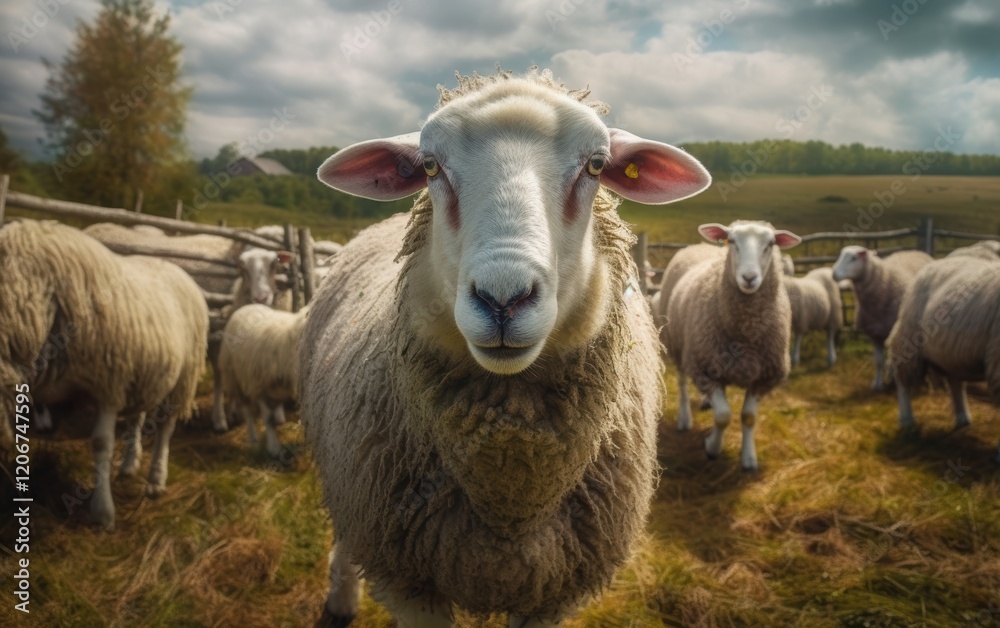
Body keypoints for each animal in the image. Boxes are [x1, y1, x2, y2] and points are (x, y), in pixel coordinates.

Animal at [0, 220, 208, 530]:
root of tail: (174, 267)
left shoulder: (108, 386)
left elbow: (101, 444)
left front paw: (103, 513)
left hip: (182, 378)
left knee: (165, 428)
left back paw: (156, 480)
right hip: (144, 371)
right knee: (137, 417)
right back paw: (129, 465)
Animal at [299, 69, 711, 626]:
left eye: (596, 165)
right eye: (430, 166)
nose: (503, 298)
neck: (510, 489)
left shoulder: (553, 590)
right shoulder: (410, 582)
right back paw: (341, 599)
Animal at [665, 221, 801, 470]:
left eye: (770, 244)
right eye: (732, 241)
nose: (749, 277)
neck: (744, 336)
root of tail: (699, 245)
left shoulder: (764, 377)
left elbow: (748, 417)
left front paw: (748, 459)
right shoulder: (704, 367)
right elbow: (723, 416)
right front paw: (711, 447)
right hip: (679, 345)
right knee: (682, 383)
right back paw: (684, 419)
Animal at [832, 246, 933, 391]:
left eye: (853, 258)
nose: (834, 274)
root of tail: (916, 251)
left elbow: (896, 357)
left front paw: (894, 380)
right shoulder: (874, 333)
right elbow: (879, 361)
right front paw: (877, 384)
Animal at [886, 256, 1000, 458]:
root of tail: (937, 261)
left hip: (952, 355)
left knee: (955, 383)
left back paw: (962, 418)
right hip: (910, 337)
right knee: (902, 380)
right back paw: (907, 421)